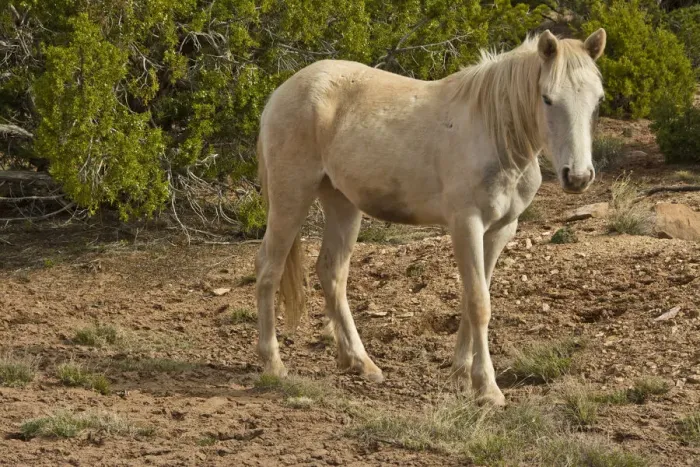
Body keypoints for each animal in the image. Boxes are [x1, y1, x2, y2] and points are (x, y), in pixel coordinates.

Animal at [254, 29, 607, 406]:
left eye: (597, 100)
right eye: (547, 99)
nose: (578, 177)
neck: (494, 132)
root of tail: (281, 92)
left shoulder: (499, 231)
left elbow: (472, 298)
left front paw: (461, 376)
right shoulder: (466, 225)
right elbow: (479, 303)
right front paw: (488, 389)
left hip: (342, 203)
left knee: (332, 272)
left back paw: (360, 362)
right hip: (291, 197)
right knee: (269, 269)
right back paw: (273, 363)